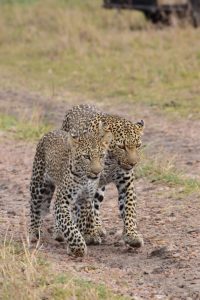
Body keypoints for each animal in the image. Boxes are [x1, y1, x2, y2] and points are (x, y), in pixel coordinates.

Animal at [29, 123, 112, 256]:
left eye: (102, 156)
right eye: (86, 157)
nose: (97, 172)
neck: (85, 178)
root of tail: (52, 131)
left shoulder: (84, 200)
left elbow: (79, 223)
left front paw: (72, 246)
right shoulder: (62, 202)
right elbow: (68, 224)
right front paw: (79, 248)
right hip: (38, 184)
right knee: (35, 207)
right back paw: (33, 232)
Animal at [60, 104, 145, 247]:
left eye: (138, 145)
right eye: (121, 147)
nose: (133, 163)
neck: (111, 161)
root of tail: (79, 105)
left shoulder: (126, 184)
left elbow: (129, 208)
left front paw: (132, 235)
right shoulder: (87, 183)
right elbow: (87, 210)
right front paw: (89, 234)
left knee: (96, 204)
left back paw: (98, 226)